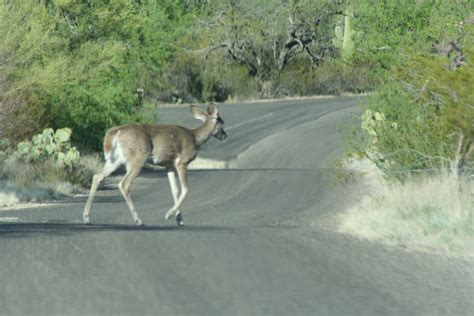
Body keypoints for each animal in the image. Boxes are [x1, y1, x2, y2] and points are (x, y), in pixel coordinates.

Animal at [82, 105, 227, 226]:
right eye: (221, 123)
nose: (225, 135)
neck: (195, 139)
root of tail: (115, 133)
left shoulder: (169, 165)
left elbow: (175, 190)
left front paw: (179, 220)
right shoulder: (182, 162)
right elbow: (185, 188)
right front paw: (169, 215)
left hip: (115, 159)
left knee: (97, 176)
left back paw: (86, 217)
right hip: (137, 157)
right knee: (124, 184)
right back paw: (138, 221)